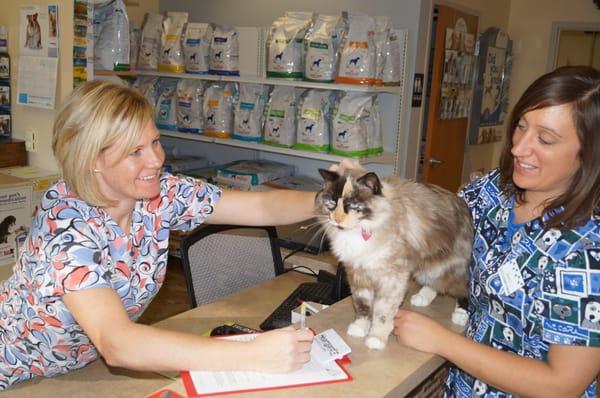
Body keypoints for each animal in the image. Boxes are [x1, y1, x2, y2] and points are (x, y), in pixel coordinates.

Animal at [316, 168, 476, 348]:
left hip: (447, 269)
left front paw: (376, 338)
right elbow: (362, 307)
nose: (336, 220)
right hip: (428, 268)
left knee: (463, 289)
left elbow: (382, 314)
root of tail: (462, 205)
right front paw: (359, 328)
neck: (362, 230)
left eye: (353, 206)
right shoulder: (359, 276)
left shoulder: (391, 279)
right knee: (433, 285)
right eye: (331, 203)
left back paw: (461, 314)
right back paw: (421, 298)